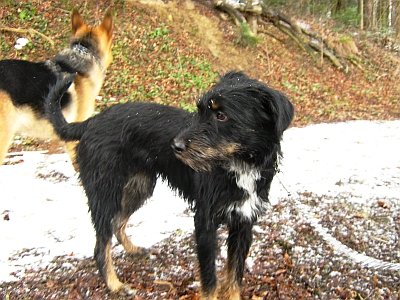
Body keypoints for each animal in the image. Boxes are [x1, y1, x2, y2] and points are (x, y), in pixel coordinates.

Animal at [46, 71, 294, 298]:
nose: (175, 146)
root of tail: (91, 121)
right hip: (105, 193)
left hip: (139, 187)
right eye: (200, 110)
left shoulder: (244, 223)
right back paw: (114, 285)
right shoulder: (204, 223)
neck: (240, 166)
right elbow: (210, 280)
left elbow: (234, 276)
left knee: (118, 223)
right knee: (101, 245)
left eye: (221, 115)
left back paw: (132, 250)